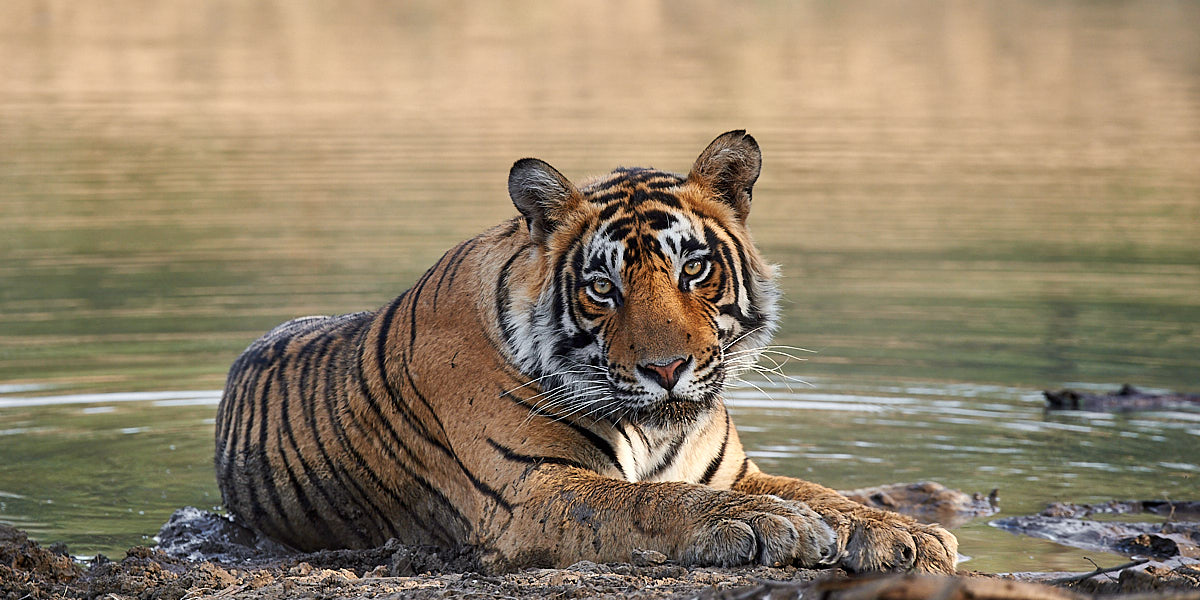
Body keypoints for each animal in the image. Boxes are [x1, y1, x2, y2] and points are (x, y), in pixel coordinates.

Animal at [214, 130, 958, 573]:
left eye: (693, 269)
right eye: (603, 287)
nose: (666, 369)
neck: (659, 430)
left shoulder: (733, 471)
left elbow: (820, 492)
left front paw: (905, 531)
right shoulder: (530, 491)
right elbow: (652, 502)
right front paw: (769, 524)